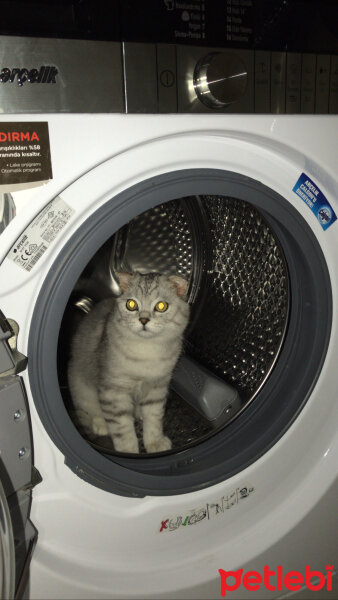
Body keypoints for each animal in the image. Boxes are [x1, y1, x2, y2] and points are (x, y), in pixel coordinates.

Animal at [68, 270, 190, 450]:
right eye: (131, 304)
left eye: (161, 306)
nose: (143, 320)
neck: (146, 350)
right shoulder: (113, 391)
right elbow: (123, 430)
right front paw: (129, 449)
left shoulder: (157, 387)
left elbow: (154, 418)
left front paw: (155, 442)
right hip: (81, 386)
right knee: (90, 409)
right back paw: (101, 424)